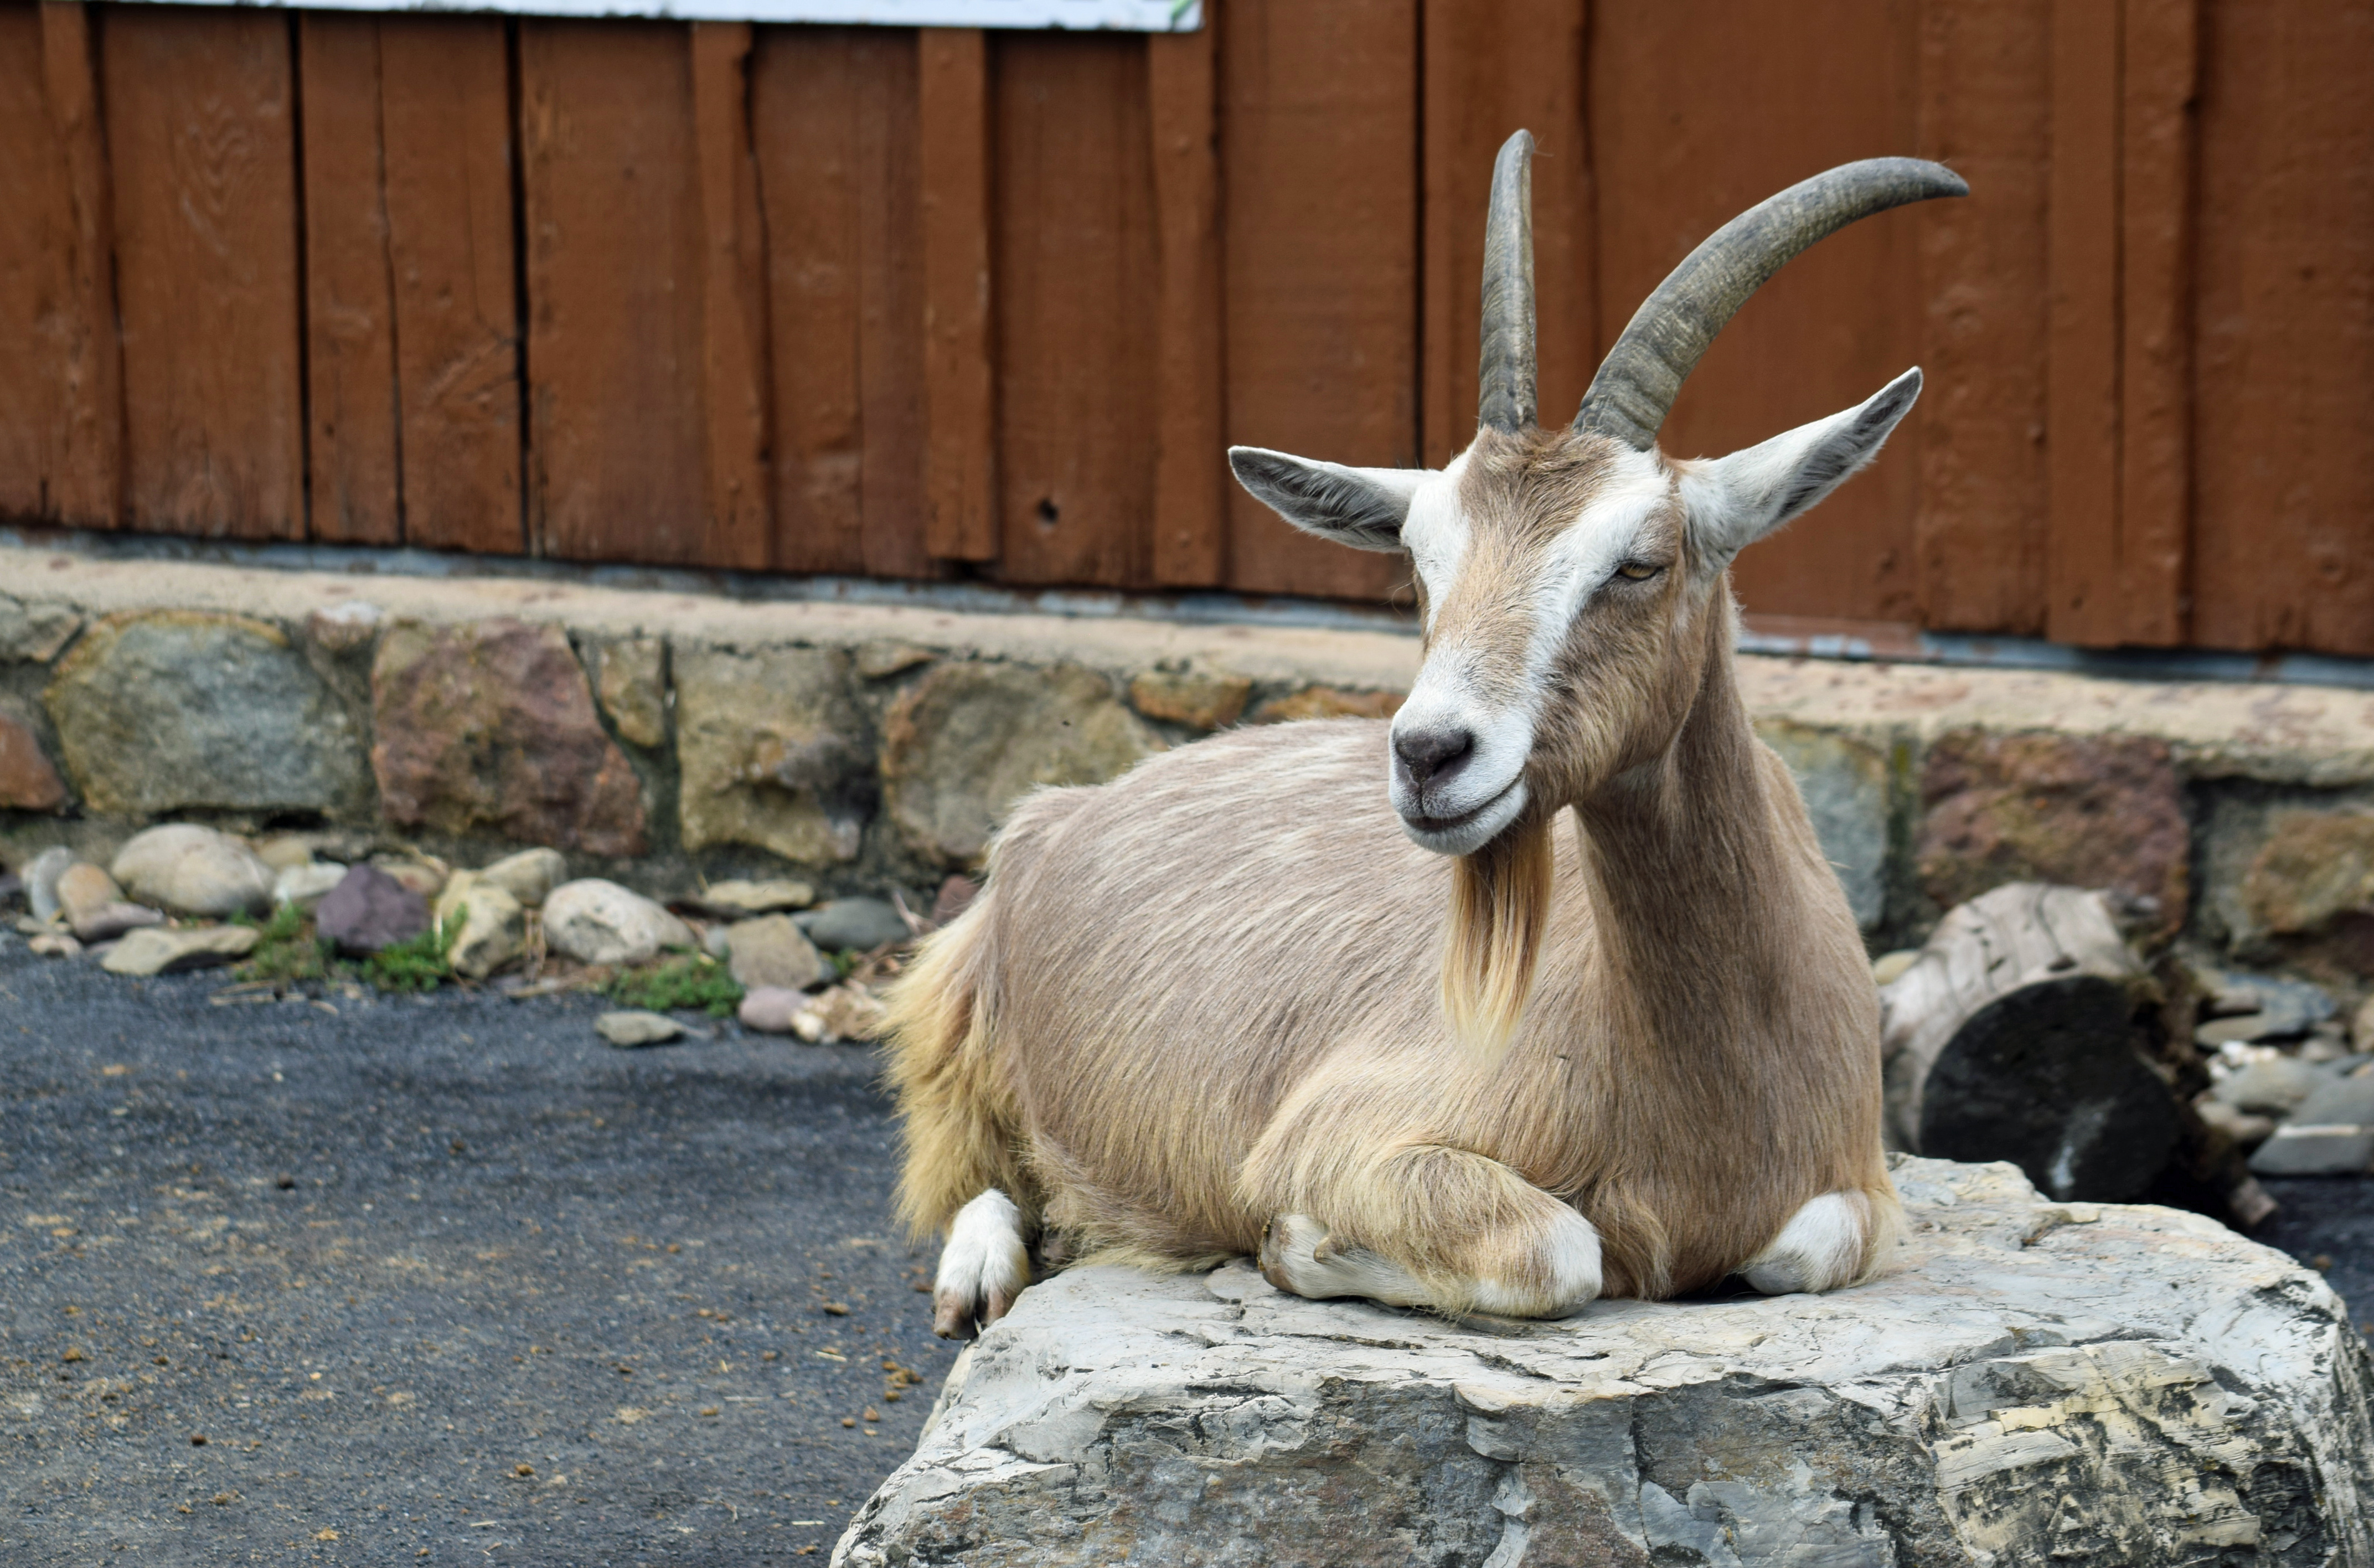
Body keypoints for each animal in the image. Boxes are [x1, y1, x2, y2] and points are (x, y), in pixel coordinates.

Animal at [892, 137, 1965, 1340]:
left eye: (1638, 561)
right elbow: (1558, 1250)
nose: (1427, 756)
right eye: (1418, 560)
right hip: (965, 1031)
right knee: (976, 1167)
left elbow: (1801, 1246)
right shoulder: (1346, 1134)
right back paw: (981, 1277)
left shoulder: (1855, 1194)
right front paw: (1297, 1244)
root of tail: (1058, 813)